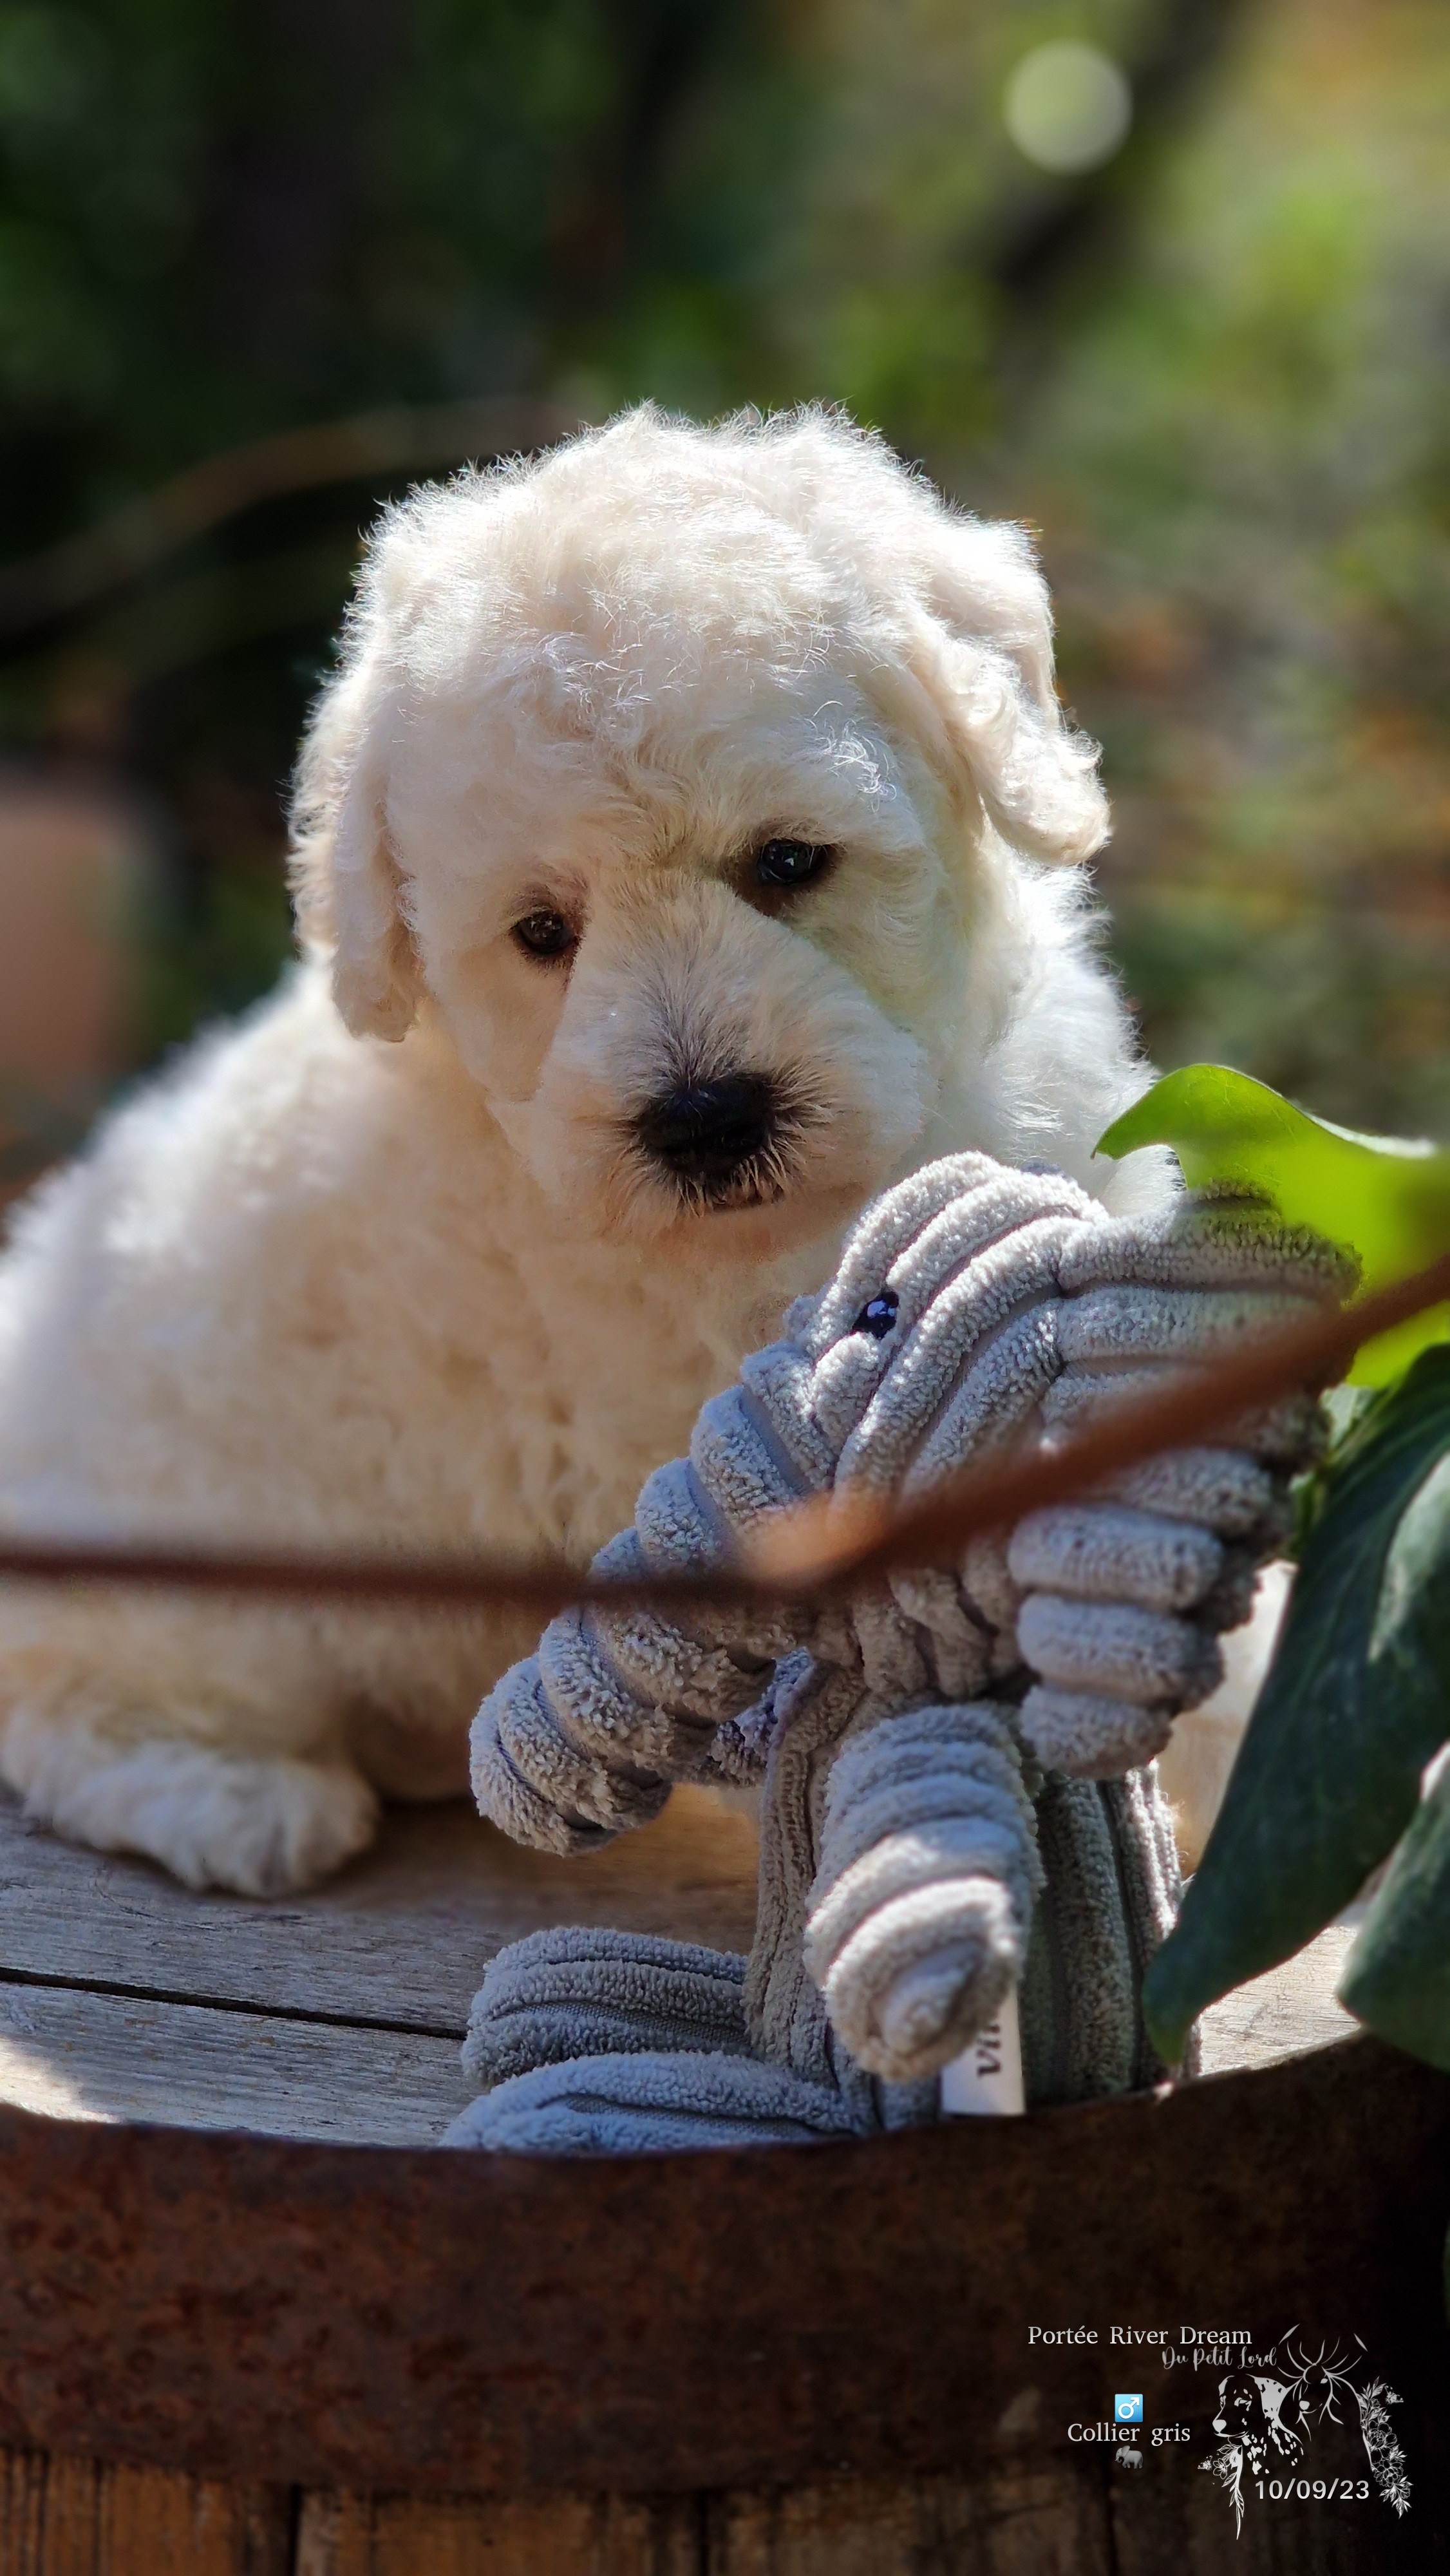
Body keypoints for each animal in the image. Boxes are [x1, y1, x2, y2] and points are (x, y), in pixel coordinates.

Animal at [0, 402, 1169, 1896]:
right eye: (542, 933)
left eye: (789, 860)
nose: (706, 1117)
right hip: (186, 1573)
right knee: (69, 1700)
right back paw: (232, 1799)